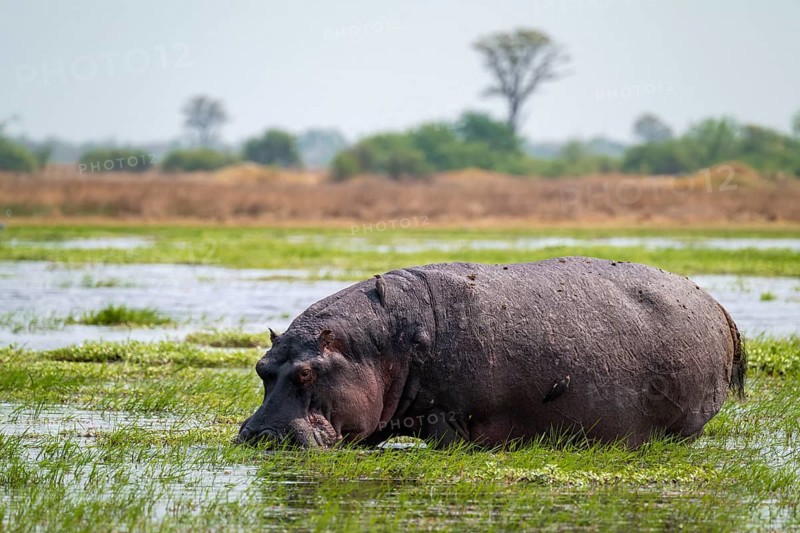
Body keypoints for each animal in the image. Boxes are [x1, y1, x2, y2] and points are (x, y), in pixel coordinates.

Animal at [237, 257, 745, 449]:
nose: (260, 434)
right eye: (261, 368)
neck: (381, 344)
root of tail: (716, 303)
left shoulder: (449, 417)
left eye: (306, 373)